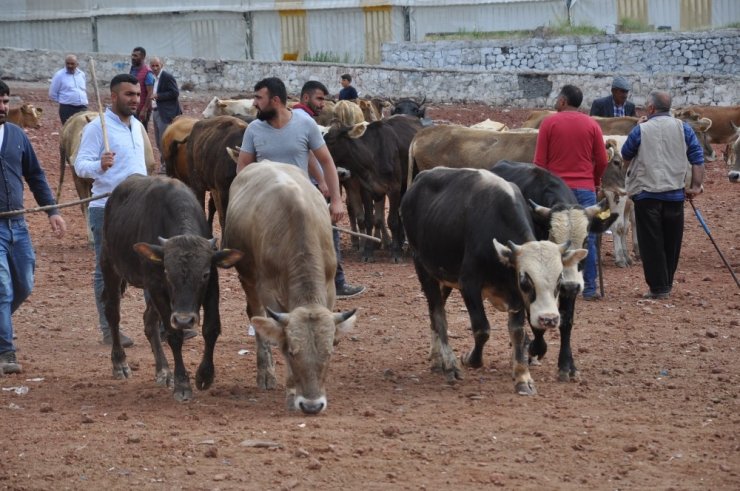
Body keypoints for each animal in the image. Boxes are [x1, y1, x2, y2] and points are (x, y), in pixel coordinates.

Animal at [99, 175, 240, 402]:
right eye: (167, 272)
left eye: (204, 274)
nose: (184, 320)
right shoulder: (157, 286)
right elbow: (174, 335)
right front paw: (182, 384)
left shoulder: (212, 286)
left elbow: (211, 328)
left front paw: (205, 375)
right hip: (109, 265)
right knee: (113, 313)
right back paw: (120, 363)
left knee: (149, 321)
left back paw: (163, 370)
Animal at [223, 162, 356, 416]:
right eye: (292, 353)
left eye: (329, 353)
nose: (312, 406)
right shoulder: (268, 292)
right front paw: (291, 392)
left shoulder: (329, 288)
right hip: (248, 279)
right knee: (255, 314)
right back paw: (265, 373)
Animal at [402, 168, 588, 396]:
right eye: (526, 280)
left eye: (559, 281)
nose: (549, 319)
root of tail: (420, 179)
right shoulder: (469, 284)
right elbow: (482, 329)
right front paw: (470, 358)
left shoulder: (515, 295)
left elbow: (517, 332)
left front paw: (523, 378)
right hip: (422, 267)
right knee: (438, 314)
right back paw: (450, 365)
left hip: (442, 277)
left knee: (433, 312)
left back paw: (437, 358)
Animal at [488, 161, 616, 384]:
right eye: (552, 238)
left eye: (586, 241)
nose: (571, 285)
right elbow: (536, 321)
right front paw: (535, 349)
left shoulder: (568, 290)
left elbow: (567, 322)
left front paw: (567, 366)